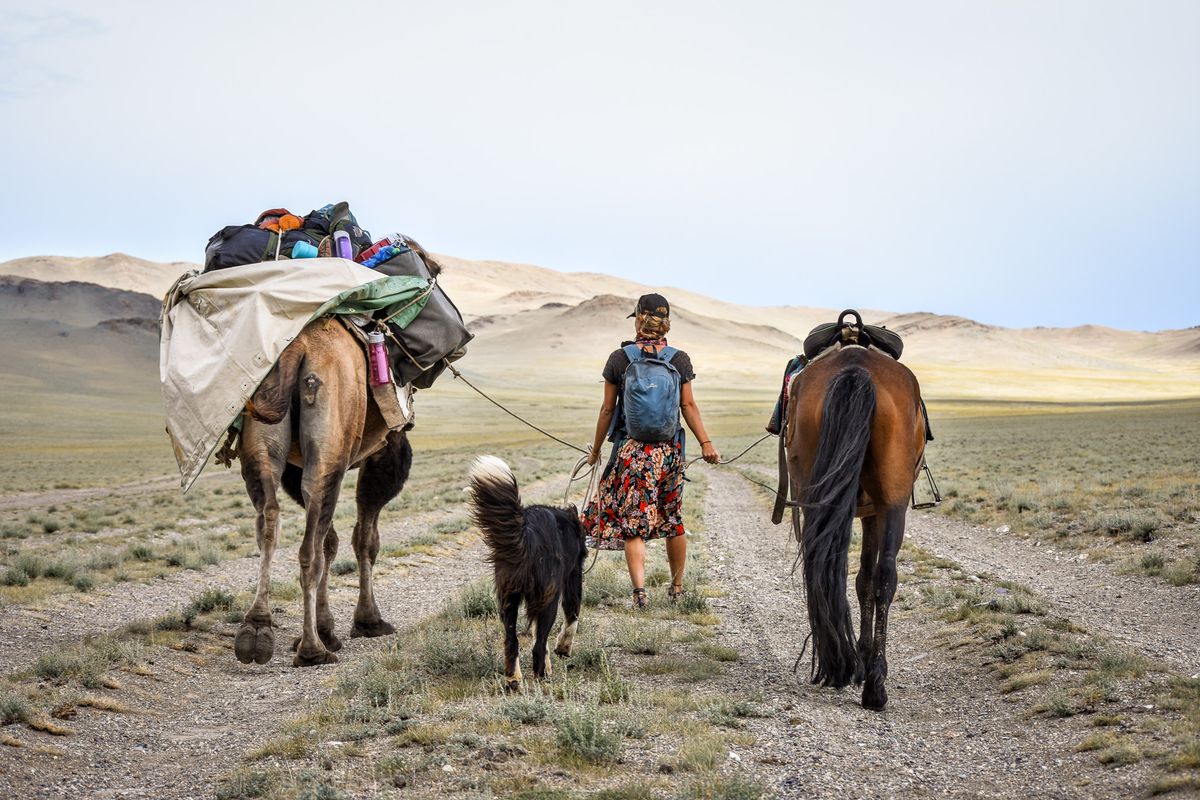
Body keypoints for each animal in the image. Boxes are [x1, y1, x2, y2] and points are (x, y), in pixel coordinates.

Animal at [229, 319, 412, 671]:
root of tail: (297, 350)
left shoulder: (293, 468)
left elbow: (332, 540)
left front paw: (327, 628)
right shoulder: (386, 451)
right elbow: (364, 540)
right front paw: (368, 622)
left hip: (263, 432)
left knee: (269, 520)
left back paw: (257, 629)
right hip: (330, 445)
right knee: (309, 548)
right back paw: (312, 650)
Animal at [463, 455, 585, 690]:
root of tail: (527, 532)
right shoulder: (573, 576)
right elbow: (572, 616)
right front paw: (563, 648)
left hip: (508, 597)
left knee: (511, 641)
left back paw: (513, 679)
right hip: (548, 597)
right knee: (538, 644)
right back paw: (542, 676)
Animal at [782, 335, 921, 710]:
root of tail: (856, 367)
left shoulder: (869, 512)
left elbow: (862, 580)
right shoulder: (875, 512)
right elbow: (867, 581)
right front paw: (865, 655)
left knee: (826, 566)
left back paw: (846, 667)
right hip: (893, 504)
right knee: (886, 576)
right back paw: (874, 683)